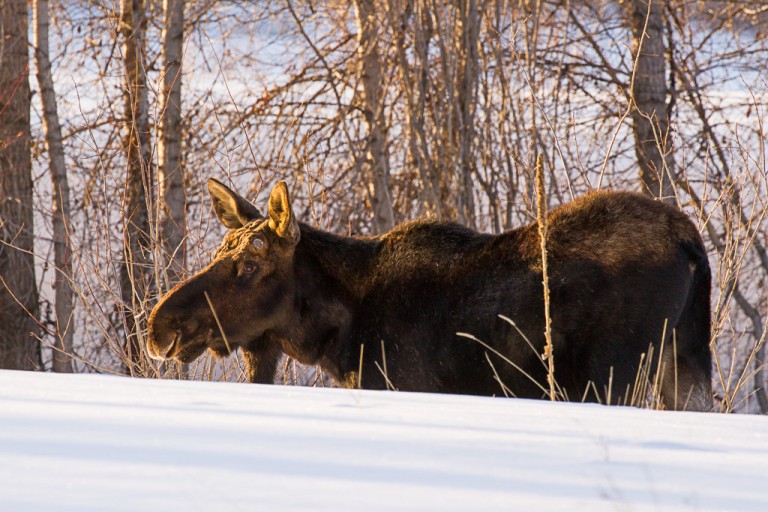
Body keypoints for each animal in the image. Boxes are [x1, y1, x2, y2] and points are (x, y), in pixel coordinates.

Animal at [146, 178, 712, 410]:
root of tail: (690, 242)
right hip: (684, 364)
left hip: (615, 373)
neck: (336, 336)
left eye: (248, 265)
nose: (159, 326)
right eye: (221, 250)